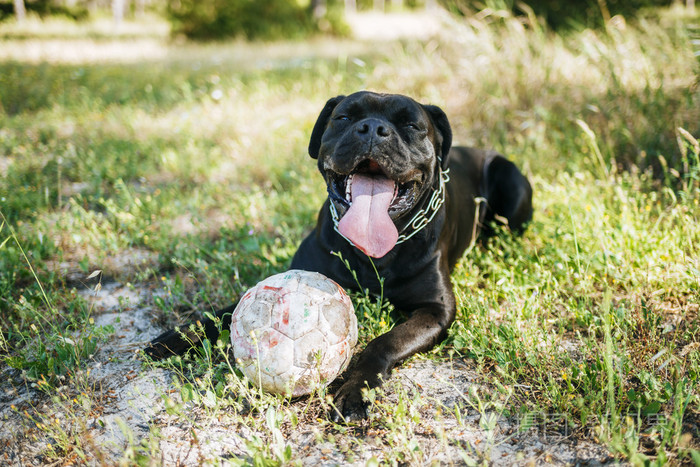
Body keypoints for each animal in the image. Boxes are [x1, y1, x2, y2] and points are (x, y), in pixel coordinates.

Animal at [146, 91, 532, 424]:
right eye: (344, 117)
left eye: (411, 125)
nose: (373, 128)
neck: (375, 253)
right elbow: (224, 311)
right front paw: (178, 336)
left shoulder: (436, 310)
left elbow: (384, 342)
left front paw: (355, 391)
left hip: (512, 183)